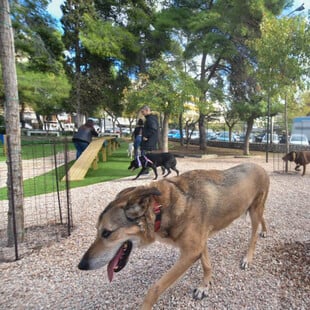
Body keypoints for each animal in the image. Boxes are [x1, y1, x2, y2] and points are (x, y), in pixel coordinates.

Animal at [78, 163, 270, 308]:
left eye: (106, 232)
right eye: (97, 230)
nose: (81, 265)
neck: (160, 209)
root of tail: (259, 166)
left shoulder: (190, 252)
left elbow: (154, 289)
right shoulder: (198, 244)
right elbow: (207, 265)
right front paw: (204, 286)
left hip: (254, 211)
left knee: (253, 237)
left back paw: (248, 258)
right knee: (263, 219)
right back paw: (265, 230)